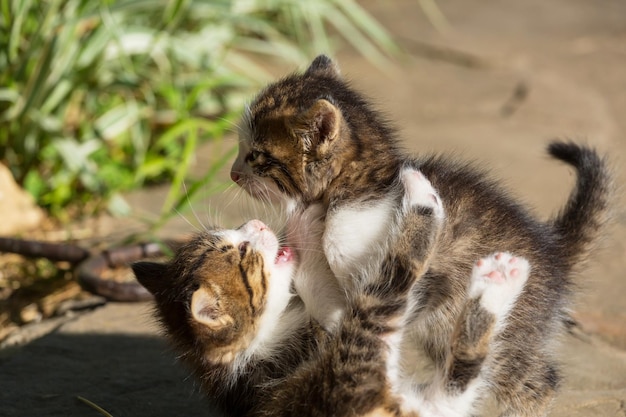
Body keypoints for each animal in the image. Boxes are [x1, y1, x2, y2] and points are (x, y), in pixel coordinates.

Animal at [134, 167, 528, 414]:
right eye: (244, 252)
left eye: (238, 232)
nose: (257, 223)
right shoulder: (347, 349)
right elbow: (388, 277)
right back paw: (493, 275)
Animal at [229, 56, 608, 416]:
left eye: (255, 155)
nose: (232, 174)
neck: (359, 189)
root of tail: (554, 250)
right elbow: (326, 301)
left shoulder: (412, 279)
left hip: (503, 331)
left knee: (539, 383)